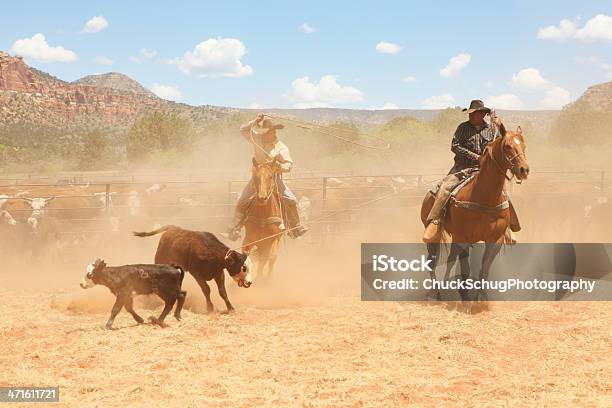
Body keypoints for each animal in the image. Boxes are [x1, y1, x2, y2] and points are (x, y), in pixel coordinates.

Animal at [420, 124, 532, 300]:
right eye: (507, 146)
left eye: (524, 146)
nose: (524, 170)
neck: (485, 197)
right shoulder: (462, 238)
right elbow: (465, 268)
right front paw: (464, 295)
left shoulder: (495, 241)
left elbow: (483, 271)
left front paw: (479, 297)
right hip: (434, 237)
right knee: (433, 261)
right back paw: (435, 292)